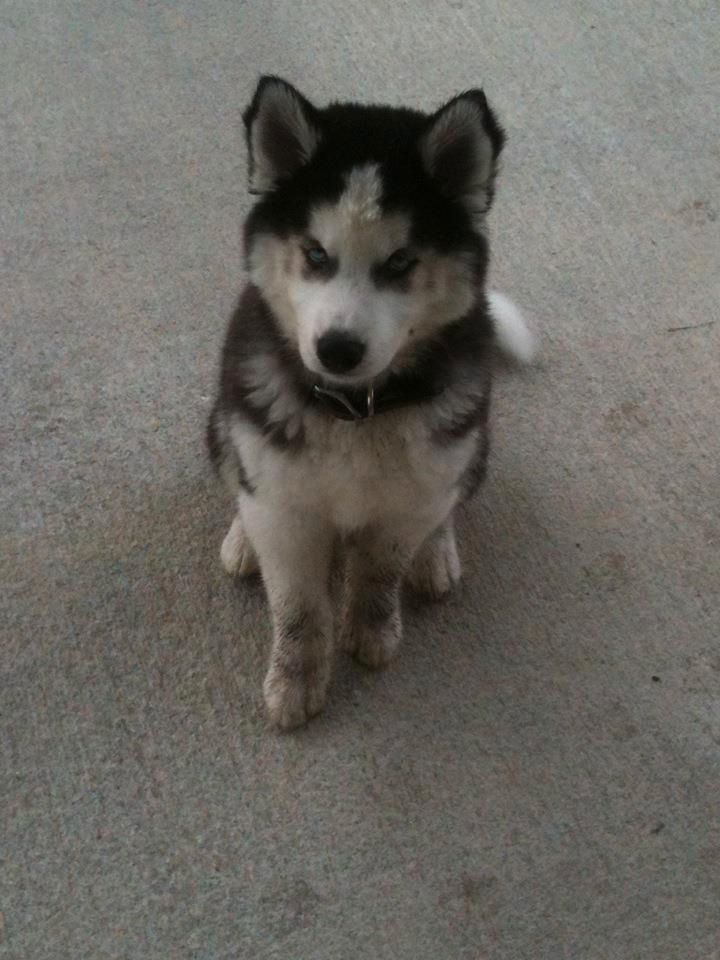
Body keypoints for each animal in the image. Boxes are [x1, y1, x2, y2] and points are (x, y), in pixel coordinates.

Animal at [205, 79, 532, 732]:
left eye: (401, 261)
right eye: (315, 253)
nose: (337, 350)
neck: (357, 411)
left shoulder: (408, 498)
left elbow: (382, 571)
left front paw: (372, 630)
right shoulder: (286, 509)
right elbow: (299, 605)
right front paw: (296, 679)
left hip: (473, 440)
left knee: (449, 500)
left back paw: (437, 554)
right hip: (224, 421)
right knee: (237, 468)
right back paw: (241, 538)